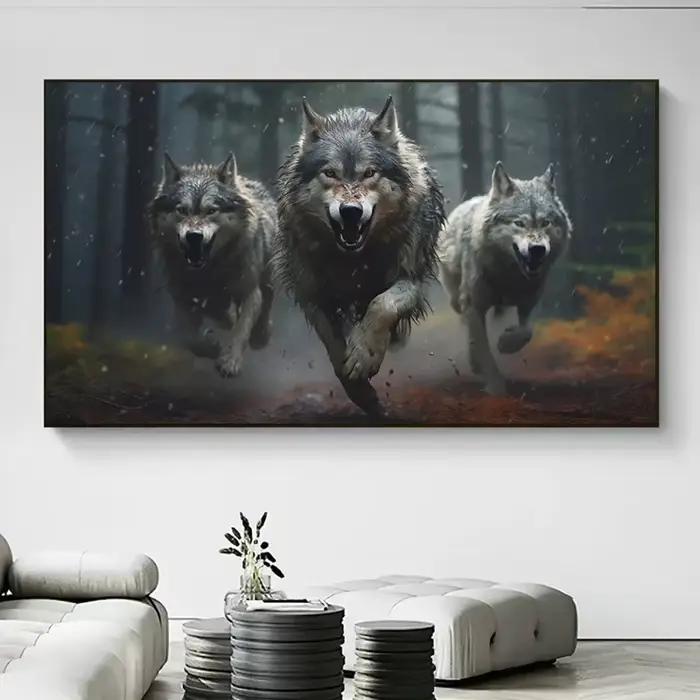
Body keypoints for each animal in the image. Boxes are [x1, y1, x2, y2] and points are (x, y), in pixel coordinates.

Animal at [149, 153, 276, 378]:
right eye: (182, 210)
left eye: (211, 211)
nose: (194, 236)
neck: (209, 270)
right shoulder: (181, 297)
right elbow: (190, 338)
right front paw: (211, 347)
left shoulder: (249, 292)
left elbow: (241, 331)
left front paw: (230, 361)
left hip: (266, 279)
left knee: (266, 304)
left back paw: (260, 335)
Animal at [274, 96, 445, 415]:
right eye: (330, 173)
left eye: (369, 173)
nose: (350, 211)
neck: (355, 259)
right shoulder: (313, 294)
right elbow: (334, 346)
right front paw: (361, 393)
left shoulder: (411, 279)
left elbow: (383, 305)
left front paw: (365, 355)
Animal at [438, 161, 572, 395]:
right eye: (519, 223)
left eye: (545, 222)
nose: (537, 249)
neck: (508, 276)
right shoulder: (474, 306)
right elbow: (483, 349)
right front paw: (495, 386)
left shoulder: (529, 301)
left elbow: (526, 331)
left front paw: (506, 343)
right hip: (457, 300)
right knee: (469, 330)